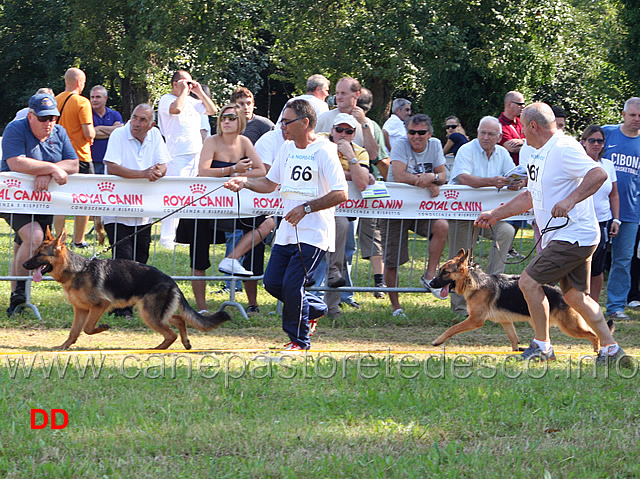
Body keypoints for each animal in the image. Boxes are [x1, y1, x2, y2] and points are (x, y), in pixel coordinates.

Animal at [23, 229, 231, 348]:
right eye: (34, 252)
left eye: (40, 254)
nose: (24, 264)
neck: (77, 270)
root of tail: (171, 280)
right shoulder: (80, 310)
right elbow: (74, 331)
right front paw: (64, 347)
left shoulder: (99, 306)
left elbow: (88, 329)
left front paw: (103, 327)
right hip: (152, 313)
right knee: (179, 319)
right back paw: (184, 342)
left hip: (149, 315)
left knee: (170, 332)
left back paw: (157, 349)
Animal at [430, 249, 600, 350]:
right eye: (440, 270)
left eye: (445, 272)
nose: (430, 283)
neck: (473, 281)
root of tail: (560, 293)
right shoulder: (505, 321)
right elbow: (514, 339)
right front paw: (515, 351)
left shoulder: (475, 320)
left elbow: (453, 328)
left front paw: (438, 340)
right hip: (540, 321)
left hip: (569, 326)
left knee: (593, 335)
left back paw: (597, 352)